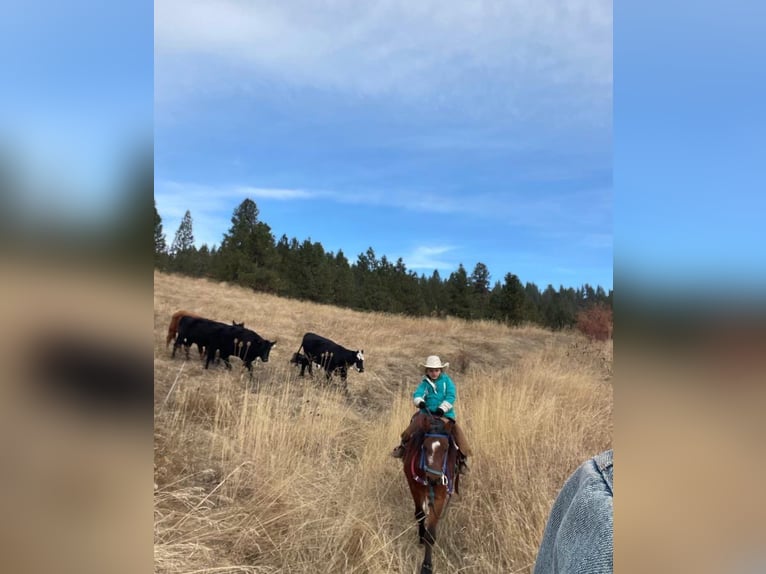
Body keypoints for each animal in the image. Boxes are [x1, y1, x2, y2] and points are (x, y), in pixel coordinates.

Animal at [402, 412, 462, 572]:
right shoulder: (414, 487)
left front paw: (427, 565)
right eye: (424, 446)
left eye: (446, 448)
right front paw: (421, 537)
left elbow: (431, 533)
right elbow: (420, 514)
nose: (434, 479)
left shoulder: (440, 496)